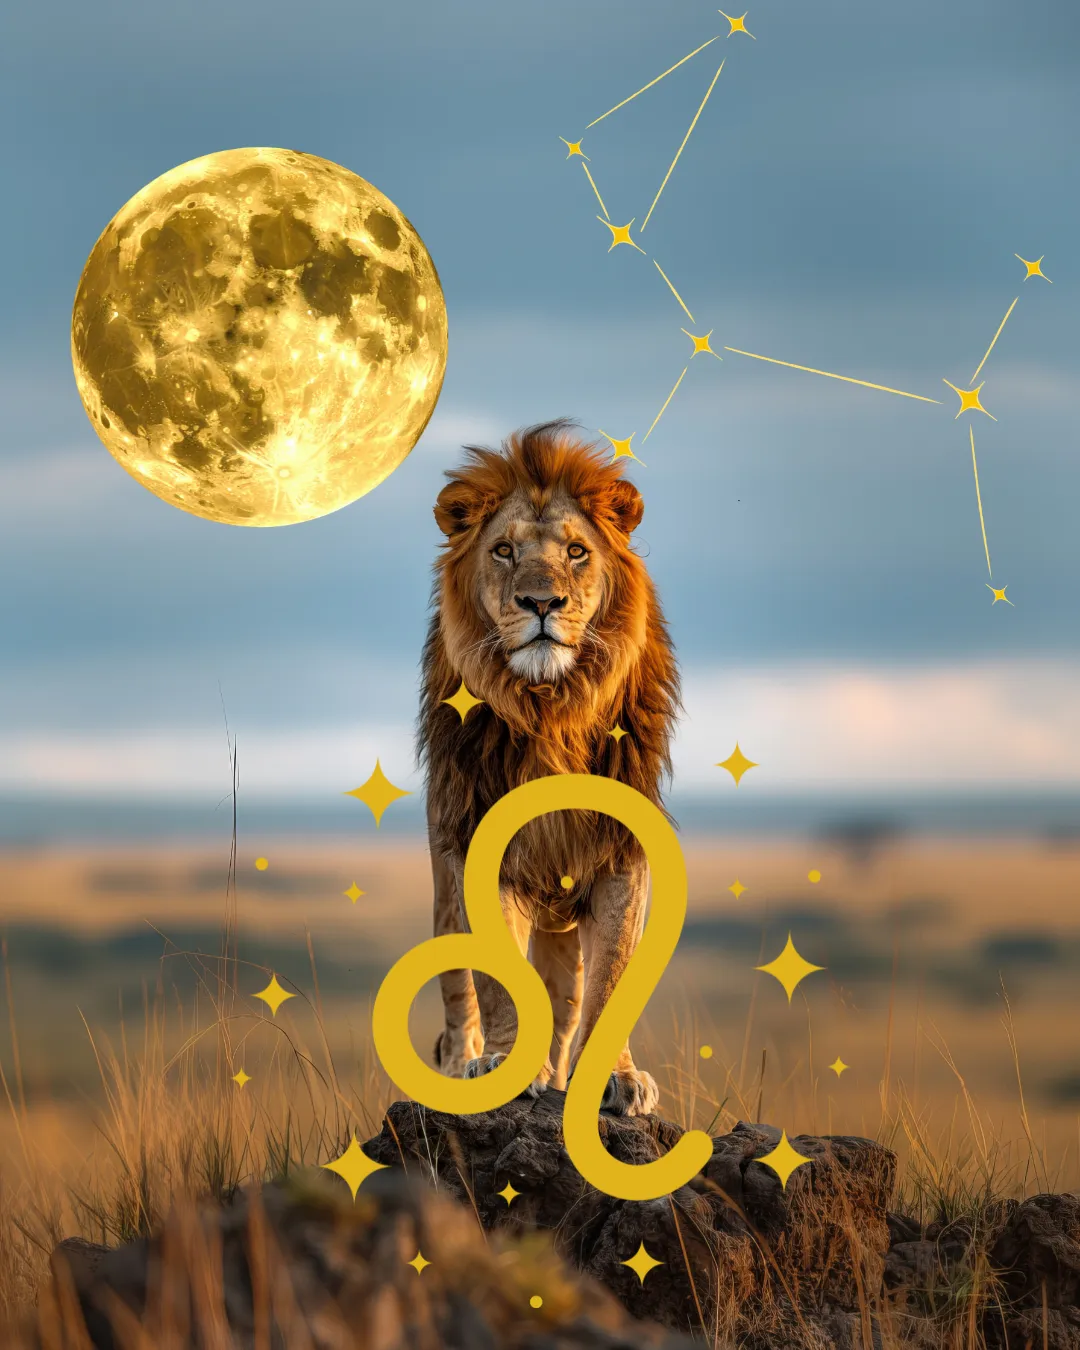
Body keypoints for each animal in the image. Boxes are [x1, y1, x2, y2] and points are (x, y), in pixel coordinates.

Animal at [417, 418, 680, 1116]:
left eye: (577, 552)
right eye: (504, 551)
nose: (542, 602)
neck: (550, 707)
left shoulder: (621, 855)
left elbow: (612, 979)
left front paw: (617, 1078)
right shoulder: (476, 850)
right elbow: (496, 985)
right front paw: (502, 1065)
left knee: (564, 1006)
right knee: (459, 999)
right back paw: (459, 1065)